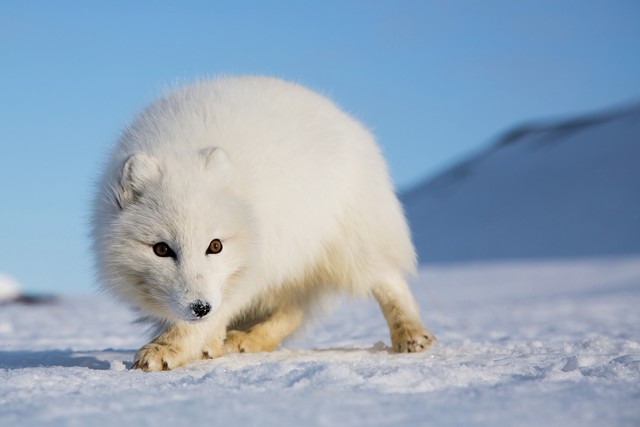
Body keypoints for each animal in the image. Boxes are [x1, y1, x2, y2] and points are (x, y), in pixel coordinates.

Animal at [92, 76, 436, 372]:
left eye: (215, 246)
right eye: (161, 250)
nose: (200, 307)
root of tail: (345, 117)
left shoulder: (247, 270)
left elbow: (210, 317)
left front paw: (166, 349)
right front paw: (203, 346)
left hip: (348, 241)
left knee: (388, 279)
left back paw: (411, 334)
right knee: (295, 309)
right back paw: (248, 340)